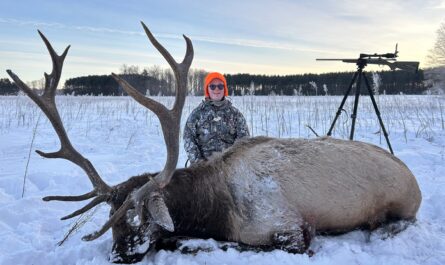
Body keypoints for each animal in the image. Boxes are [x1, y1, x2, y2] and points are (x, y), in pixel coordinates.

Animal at [8, 22, 422, 262]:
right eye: (111, 219)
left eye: (140, 217)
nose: (119, 256)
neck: (214, 207)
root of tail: (415, 182)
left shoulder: (290, 229)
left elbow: (216, 242)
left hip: (401, 205)